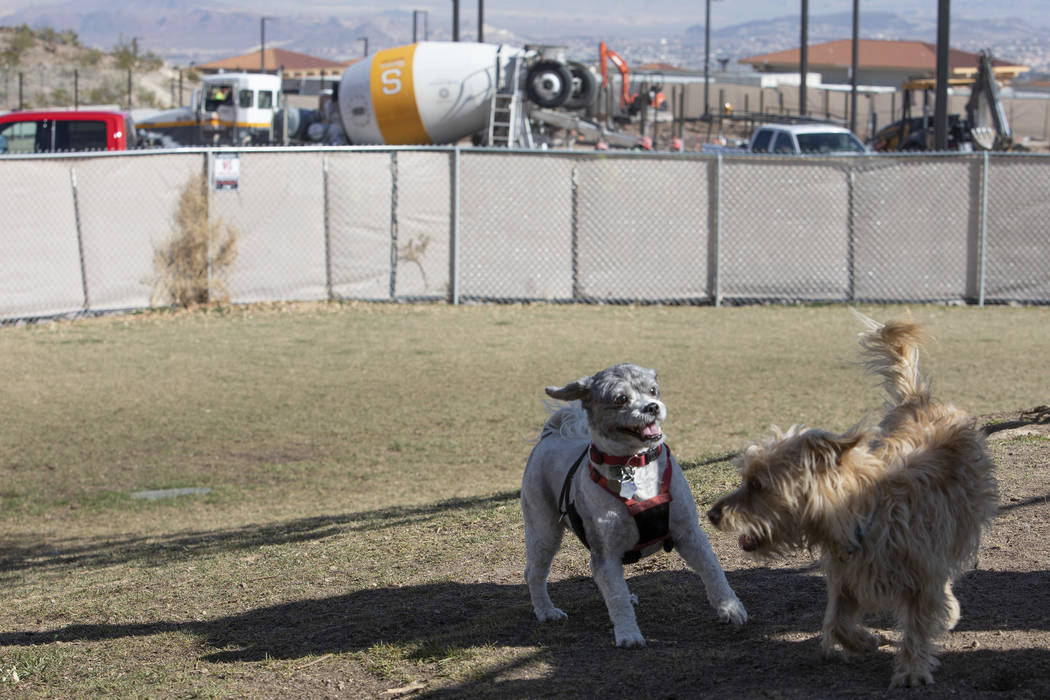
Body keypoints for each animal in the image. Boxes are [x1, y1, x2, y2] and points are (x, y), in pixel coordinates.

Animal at [709, 314, 995, 688]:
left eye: (757, 484)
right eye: (747, 478)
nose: (712, 514)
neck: (861, 515)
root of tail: (919, 399)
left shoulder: (923, 571)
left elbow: (919, 621)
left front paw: (912, 669)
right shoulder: (846, 579)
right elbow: (837, 622)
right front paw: (865, 641)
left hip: (962, 523)